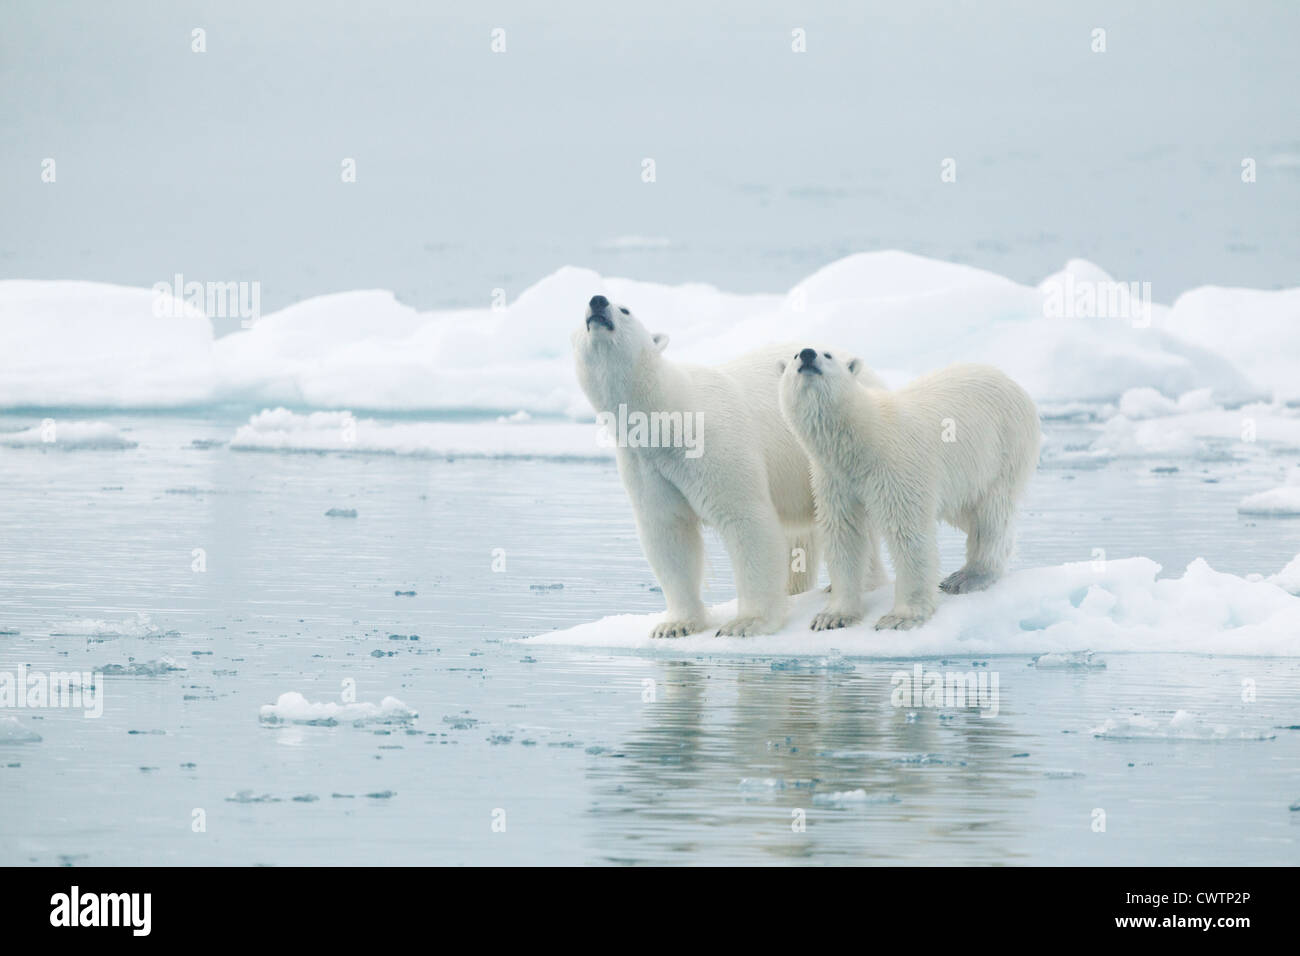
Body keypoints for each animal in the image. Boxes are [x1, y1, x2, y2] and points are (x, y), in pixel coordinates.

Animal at [574, 295, 889, 639]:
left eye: (625, 310)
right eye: (581, 312)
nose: (598, 301)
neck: (670, 416)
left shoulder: (715, 443)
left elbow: (746, 520)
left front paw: (745, 623)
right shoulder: (644, 464)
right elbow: (668, 531)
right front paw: (675, 624)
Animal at [774, 348, 1040, 632]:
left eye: (828, 354)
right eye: (794, 356)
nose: (807, 354)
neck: (861, 440)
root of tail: (1011, 382)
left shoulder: (896, 467)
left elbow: (908, 533)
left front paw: (900, 617)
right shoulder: (834, 480)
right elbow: (844, 533)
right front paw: (832, 616)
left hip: (1003, 449)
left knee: (991, 514)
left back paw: (968, 576)